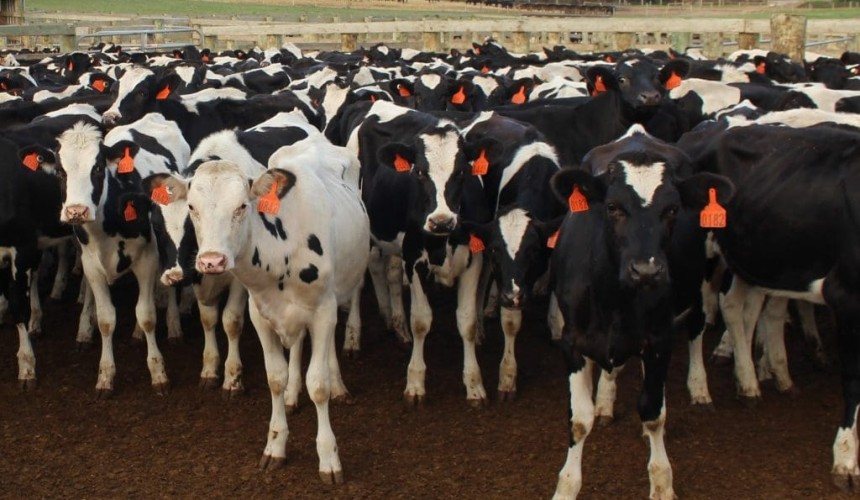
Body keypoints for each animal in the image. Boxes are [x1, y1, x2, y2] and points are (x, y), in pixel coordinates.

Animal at [548, 128, 733, 499]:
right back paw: (605, 400)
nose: (646, 271)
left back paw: (698, 387)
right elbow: (579, 419)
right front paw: (567, 486)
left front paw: (662, 483)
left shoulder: (659, 339)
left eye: (672, 209)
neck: (614, 298)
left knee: (695, 331)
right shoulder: (572, 340)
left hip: (698, 285)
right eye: (613, 207)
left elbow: (653, 412)